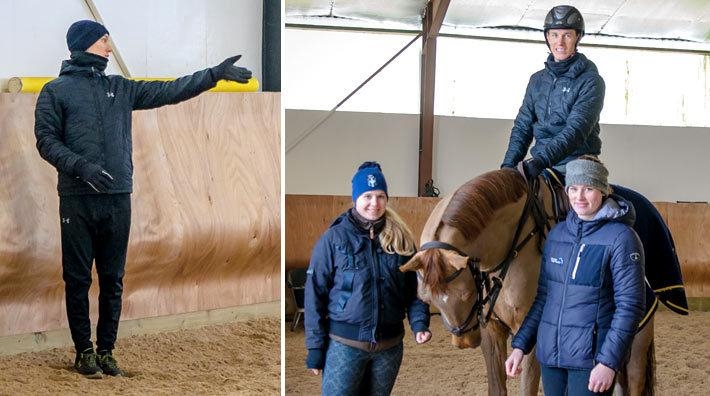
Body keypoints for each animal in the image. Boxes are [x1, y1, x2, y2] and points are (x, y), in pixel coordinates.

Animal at [404, 168, 660, 396]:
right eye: (426, 298)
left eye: (466, 294)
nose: (463, 341)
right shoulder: (491, 330)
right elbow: (497, 388)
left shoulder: (529, 332)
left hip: (638, 340)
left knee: (633, 383)